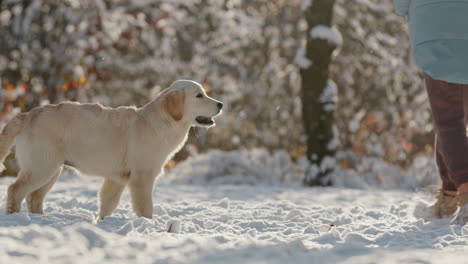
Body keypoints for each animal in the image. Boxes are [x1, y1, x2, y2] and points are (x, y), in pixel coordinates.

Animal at [0, 80, 223, 219]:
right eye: (199, 95)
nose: (221, 104)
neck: (161, 122)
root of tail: (28, 114)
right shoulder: (142, 177)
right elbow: (145, 208)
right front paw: (150, 226)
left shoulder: (116, 179)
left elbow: (107, 204)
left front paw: (102, 223)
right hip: (42, 167)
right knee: (15, 190)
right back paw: (15, 217)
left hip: (52, 169)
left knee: (34, 197)